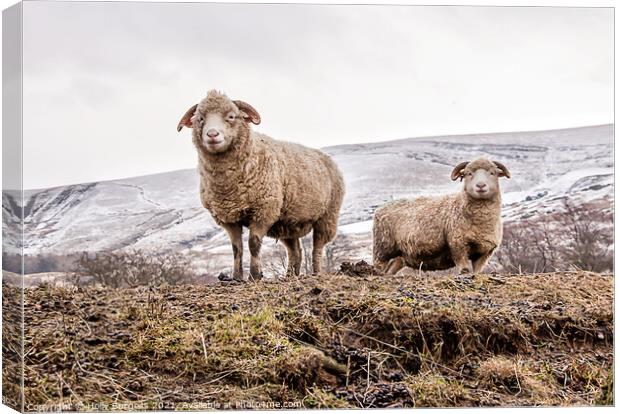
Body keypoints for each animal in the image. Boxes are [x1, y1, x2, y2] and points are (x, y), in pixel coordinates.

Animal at [178, 90, 344, 282]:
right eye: (200, 119)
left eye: (231, 116)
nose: (212, 134)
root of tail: (325, 156)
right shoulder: (229, 218)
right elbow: (236, 248)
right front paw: (236, 277)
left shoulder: (263, 211)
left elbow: (253, 244)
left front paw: (255, 275)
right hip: (287, 221)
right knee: (295, 251)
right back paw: (290, 276)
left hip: (327, 217)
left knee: (317, 248)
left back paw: (316, 273)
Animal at [372, 158, 508, 274]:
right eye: (468, 173)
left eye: (492, 173)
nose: (480, 185)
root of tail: (380, 208)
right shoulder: (458, 245)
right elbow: (464, 269)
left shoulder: (485, 252)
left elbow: (476, 272)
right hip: (383, 248)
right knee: (378, 265)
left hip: (400, 256)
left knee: (390, 270)